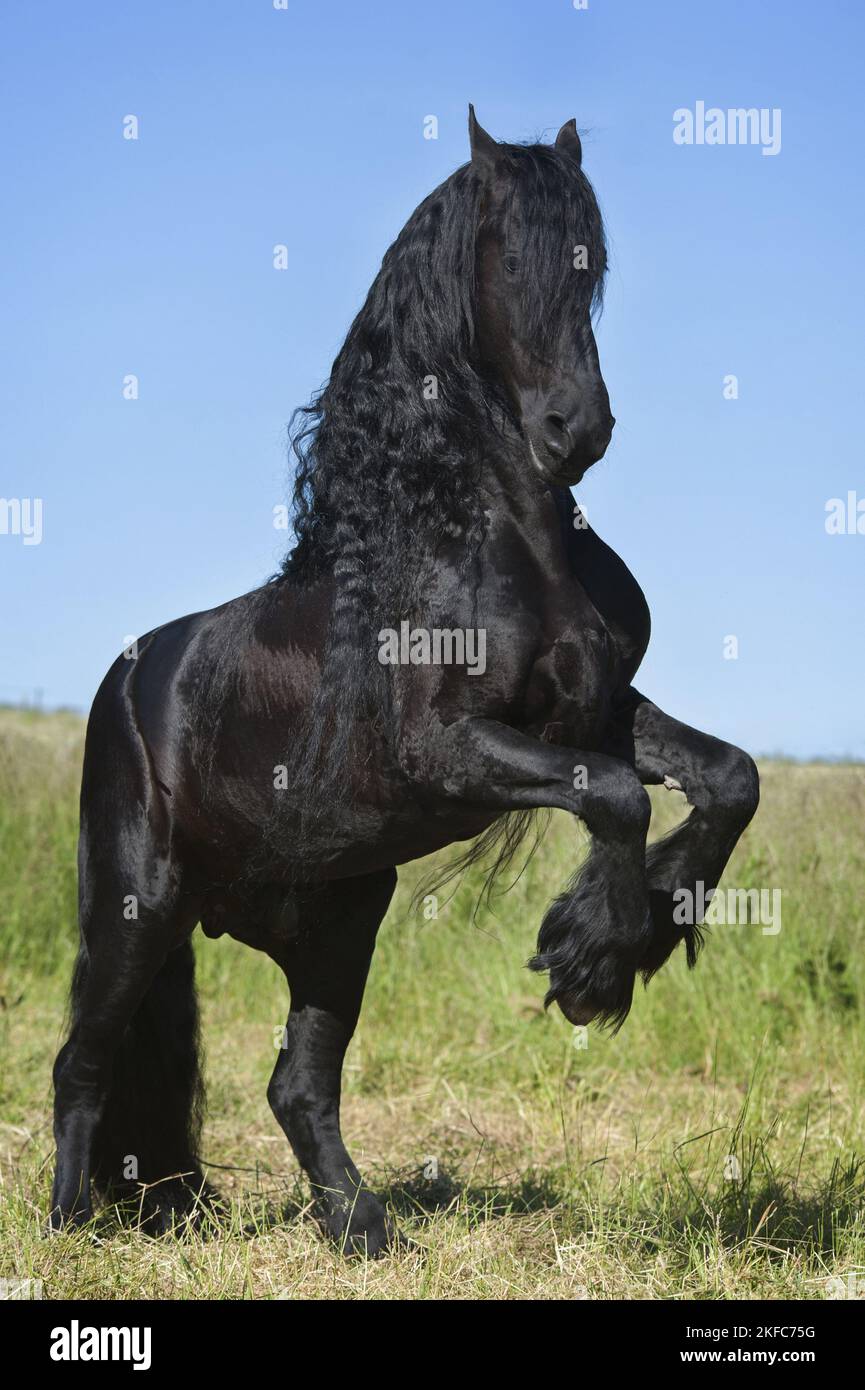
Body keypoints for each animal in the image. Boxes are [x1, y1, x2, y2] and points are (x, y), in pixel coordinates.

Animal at [50, 107, 760, 1256]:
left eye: (593, 265)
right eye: (502, 258)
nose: (576, 430)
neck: (492, 539)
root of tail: (132, 678)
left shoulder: (599, 710)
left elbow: (728, 776)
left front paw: (633, 932)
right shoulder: (449, 750)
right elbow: (614, 796)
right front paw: (589, 962)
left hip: (337, 918)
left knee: (295, 1085)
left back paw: (362, 1227)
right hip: (137, 903)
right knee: (85, 1058)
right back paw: (69, 1222)